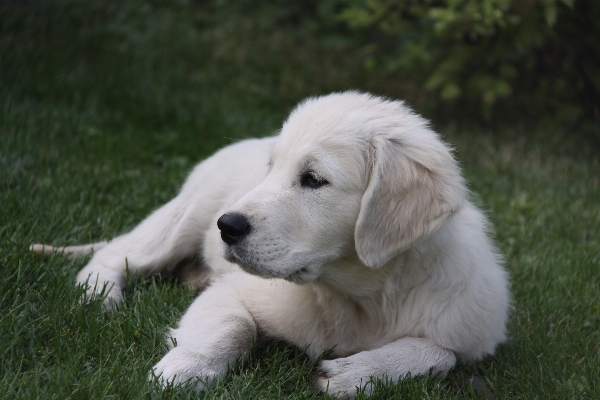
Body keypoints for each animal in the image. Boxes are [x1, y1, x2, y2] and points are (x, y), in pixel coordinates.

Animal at [32, 93, 508, 396]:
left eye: (313, 179)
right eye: (271, 169)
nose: (227, 226)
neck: (357, 296)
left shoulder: (468, 332)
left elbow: (440, 353)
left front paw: (356, 373)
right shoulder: (233, 291)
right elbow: (234, 325)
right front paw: (183, 371)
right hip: (188, 213)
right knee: (114, 253)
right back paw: (100, 297)